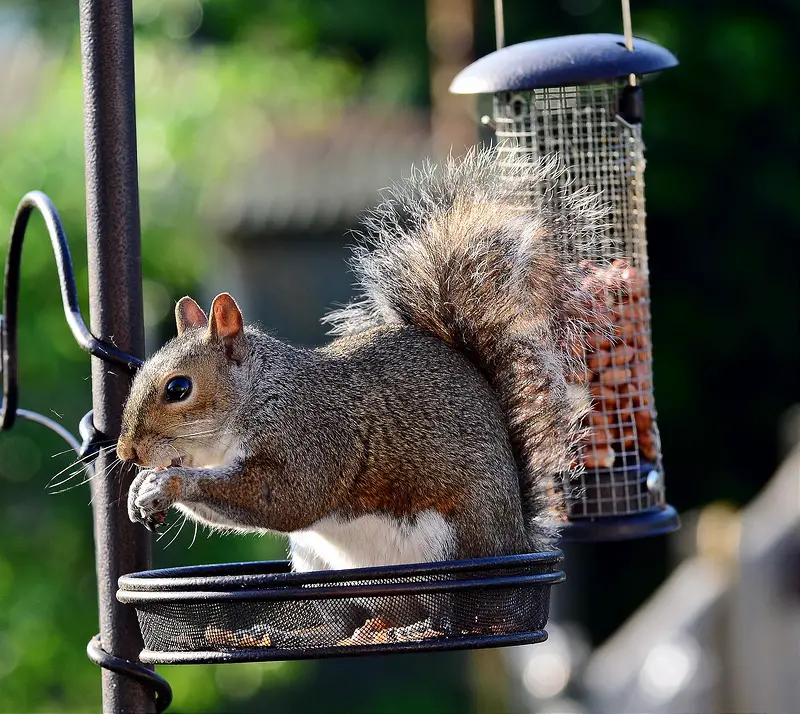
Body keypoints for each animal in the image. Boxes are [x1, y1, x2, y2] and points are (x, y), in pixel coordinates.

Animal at [114, 147, 600, 572]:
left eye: (179, 388)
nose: (127, 452)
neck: (259, 393)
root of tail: (515, 538)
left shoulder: (312, 436)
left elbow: (287, 498)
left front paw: (169, 483)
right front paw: (141, 487)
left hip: (448, 544)